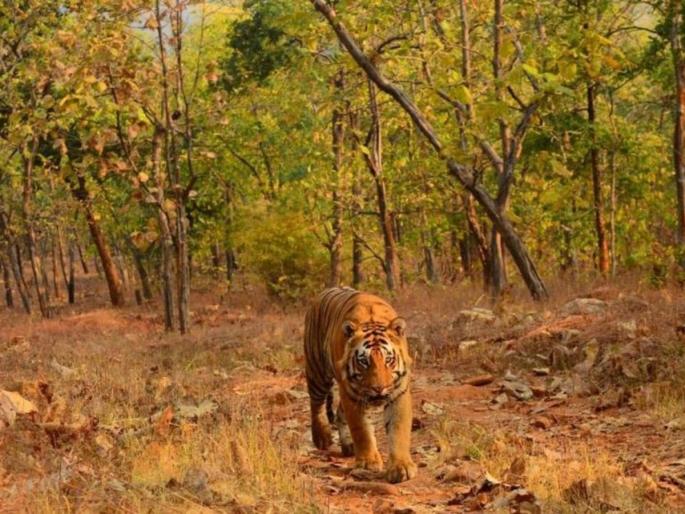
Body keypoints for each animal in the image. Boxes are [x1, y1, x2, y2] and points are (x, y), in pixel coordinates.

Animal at [303, 287, 417, 483]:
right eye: (364, 361)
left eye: (388, 360)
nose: (379, 388)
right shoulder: (351, 394)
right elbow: (361, 429)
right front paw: (368, 463)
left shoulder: (399, 392)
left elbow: (399, 429)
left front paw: (401, 467)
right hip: (317, 370)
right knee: (316, 404)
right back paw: (322, 437)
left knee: (338, 413)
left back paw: (348, 445)